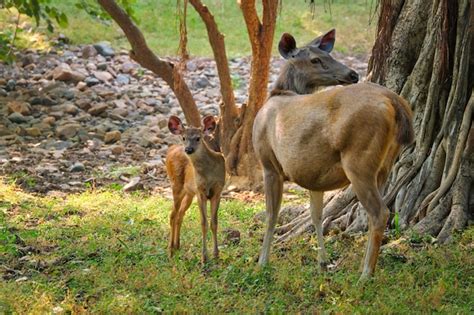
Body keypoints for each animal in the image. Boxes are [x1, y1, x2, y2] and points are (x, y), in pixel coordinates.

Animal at [167, 116, 226, 264]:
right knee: (172, 214)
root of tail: (171, 149)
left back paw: (177, 245)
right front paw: (204, 257)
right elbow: (203, 223)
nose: (188, 149)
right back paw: (170, 250)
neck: (208, 173)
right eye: (183, 137)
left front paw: (216, 254)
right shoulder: (200, 191)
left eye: (198, 138)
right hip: (176, 185)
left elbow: (214, 222)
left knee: (180, 214)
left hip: (189, 192)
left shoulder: (218, 190)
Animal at [254, 29, 412, 280]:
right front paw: (322, 262)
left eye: (327, 55)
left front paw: (262, 262)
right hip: (385, 164)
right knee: (375, 211)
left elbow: (271, 214)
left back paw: (365, 275)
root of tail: (394, 102)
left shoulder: (269, 163)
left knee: (380, 213)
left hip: (358, 161)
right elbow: (316, 215)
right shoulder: (313, 177)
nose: (353, 74)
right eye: (315, 60)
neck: (279, 94)